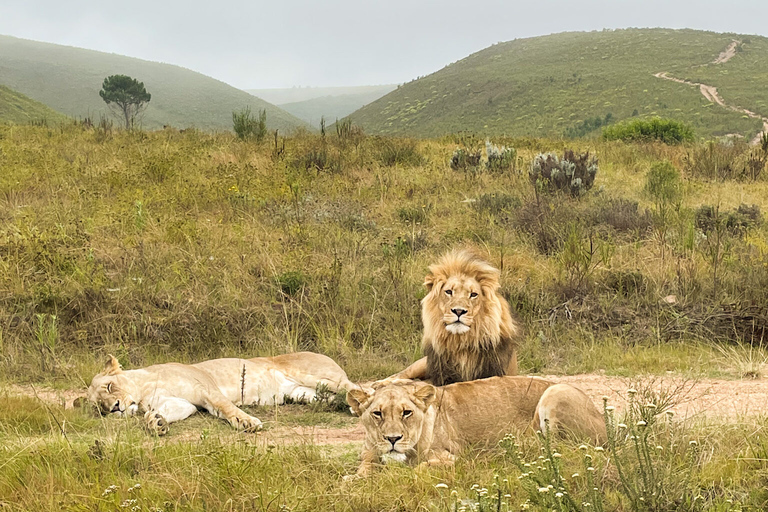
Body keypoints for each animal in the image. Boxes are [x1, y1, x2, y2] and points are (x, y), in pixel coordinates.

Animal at [346, 376, 608, 476]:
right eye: (377, 414)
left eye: (406, 412)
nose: (392, 440)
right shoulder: (368, 455)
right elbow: (362, 469)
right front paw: (356, 478)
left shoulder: (452, 458)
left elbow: (420, 469)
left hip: (556, 391)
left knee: (560, 451)